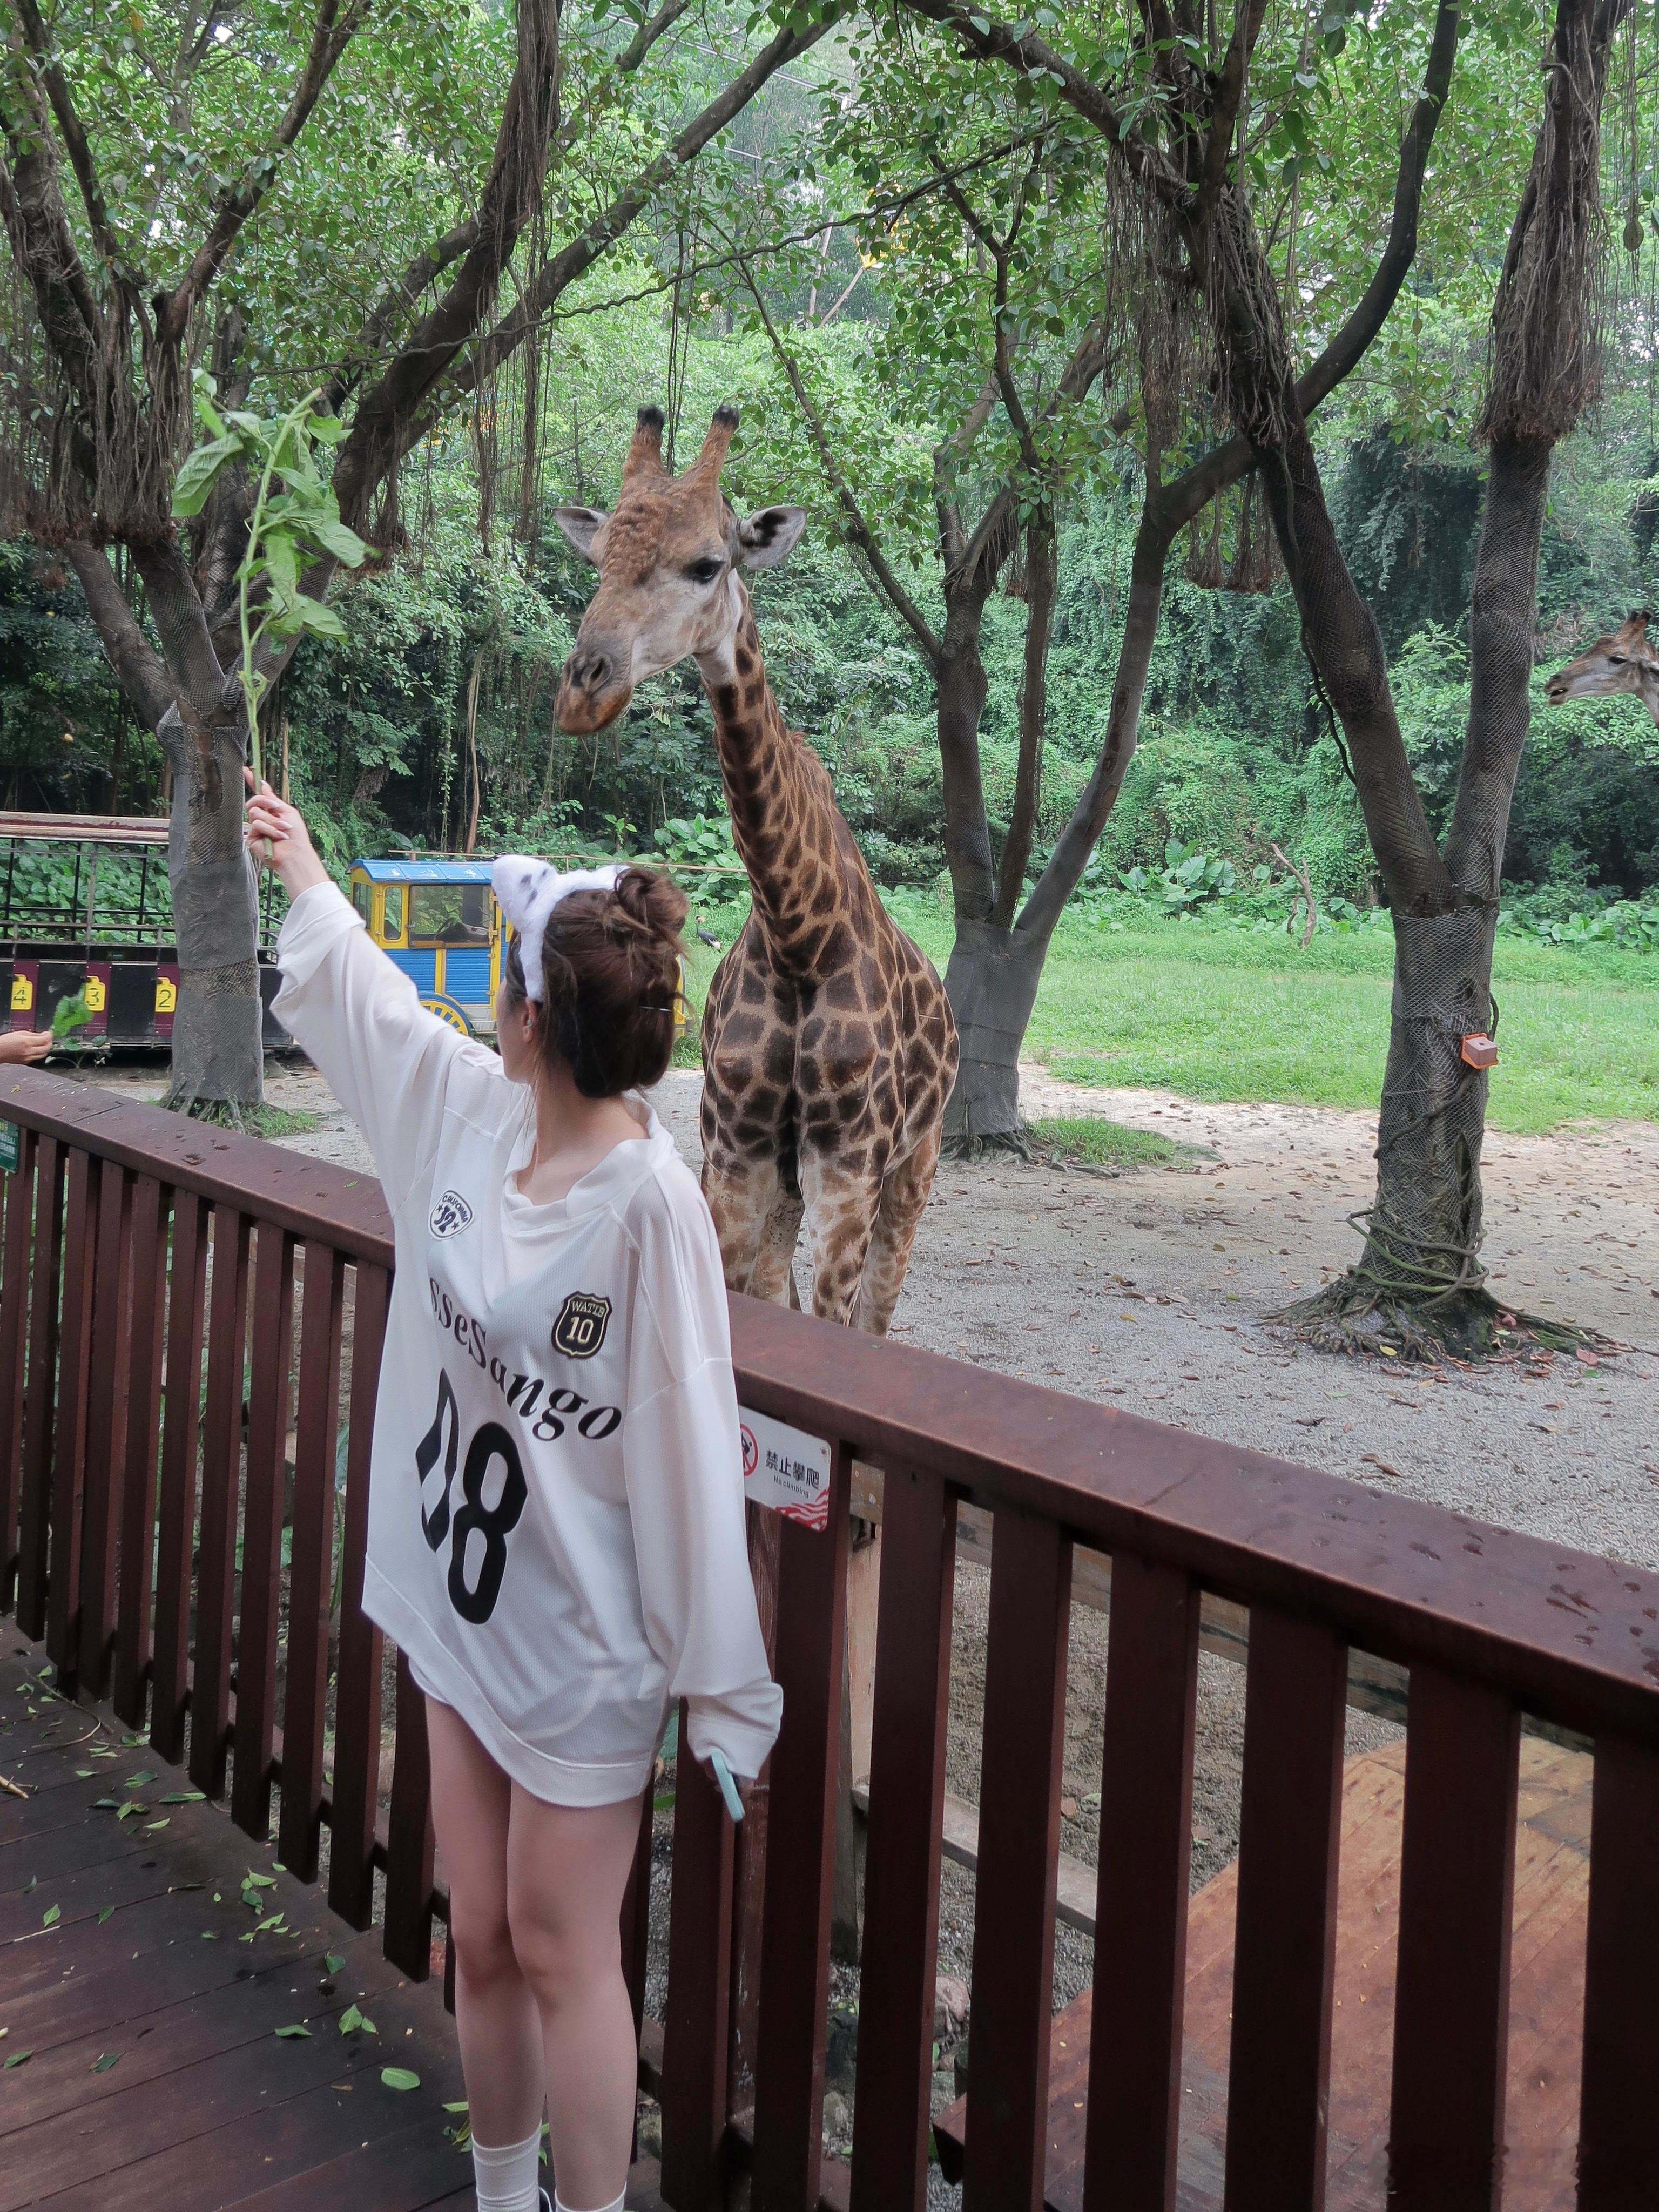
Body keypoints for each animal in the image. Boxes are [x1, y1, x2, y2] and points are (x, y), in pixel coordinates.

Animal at [555, 398, 960, 1327]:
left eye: (708, 564)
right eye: (596, 559)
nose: (586, 689)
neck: (797, 932)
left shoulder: (848, 1169)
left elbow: (834, 1323)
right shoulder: (735, 1157)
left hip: (914, 1167)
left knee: (877, 1312)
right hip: (789, 1183)